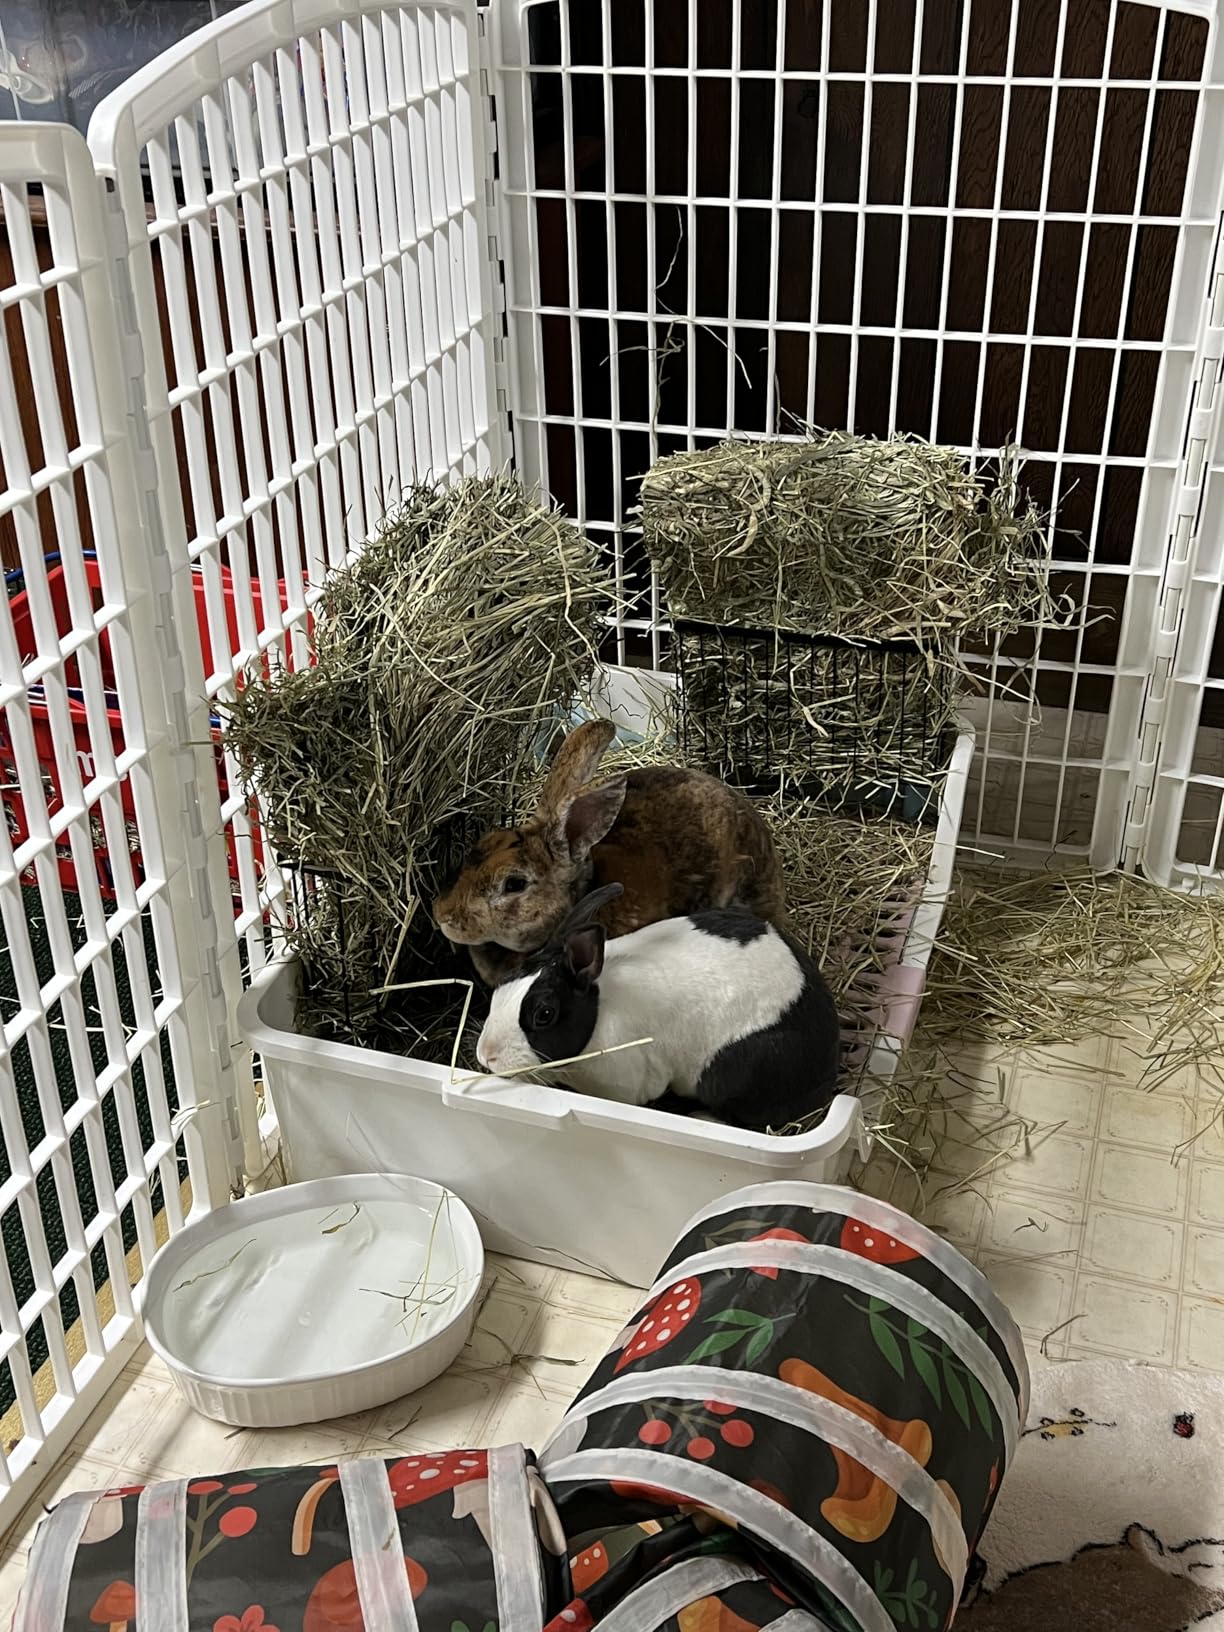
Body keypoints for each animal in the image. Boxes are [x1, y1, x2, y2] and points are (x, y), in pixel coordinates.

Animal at [475, 882, 841, 1131]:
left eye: (544, 1014)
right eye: (504, 982)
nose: (486, 1055)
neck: (599, 1006)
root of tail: (827, 1069)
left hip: (733, 1073)